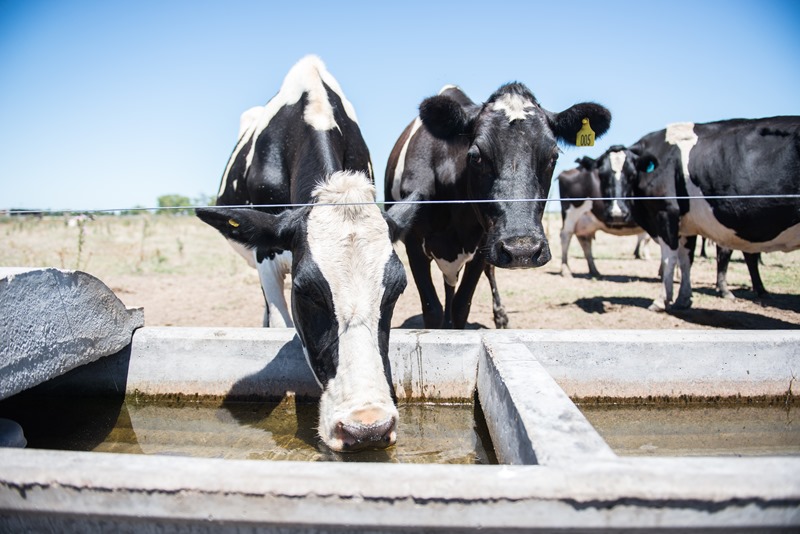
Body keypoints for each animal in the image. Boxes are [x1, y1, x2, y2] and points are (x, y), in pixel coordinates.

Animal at [386, 83, 611, 328]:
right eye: (475, 156)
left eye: (554, 157)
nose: (522, 251)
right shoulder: (413, 243)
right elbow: (432, 310)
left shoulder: (483, 245)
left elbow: (461, 306)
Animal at [609, 118, 800, 311]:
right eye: (606, 175)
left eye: (631, 174)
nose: (618, 212)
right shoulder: (687, 224)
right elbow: (686, 259)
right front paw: (683, 298)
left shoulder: (666, 214)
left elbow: (670, 258)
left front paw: (661, 300)